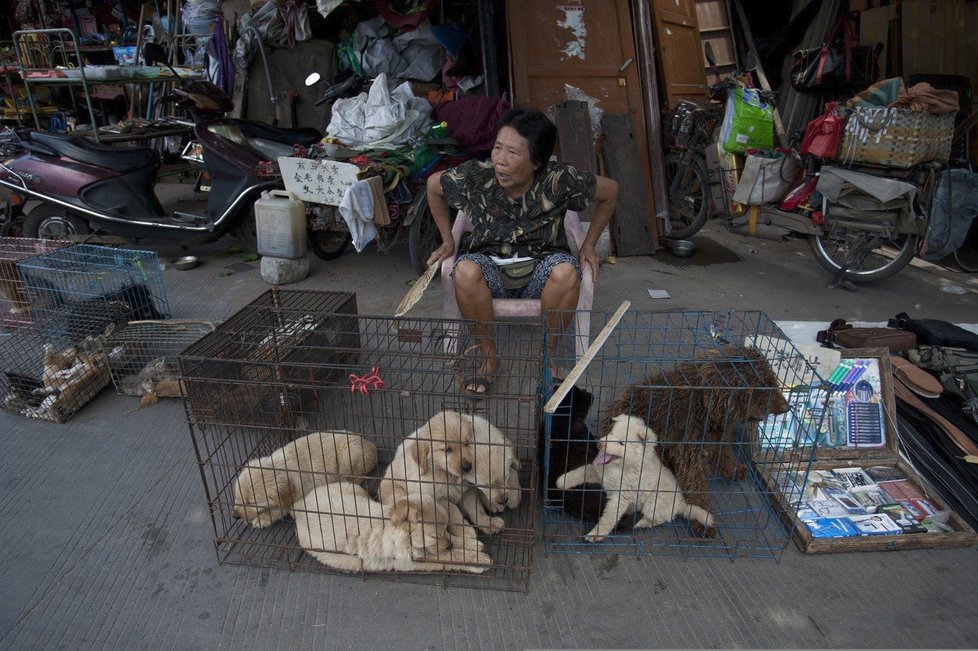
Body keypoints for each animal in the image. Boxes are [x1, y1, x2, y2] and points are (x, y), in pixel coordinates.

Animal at [232, 432, 378, 528]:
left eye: (252, 502)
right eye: (237, 497)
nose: (235, 516)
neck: (281, 467)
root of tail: (371, 444)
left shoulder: (297, 496)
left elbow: (280, 508)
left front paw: (263, 518)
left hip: (349, 453)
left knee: (356, 476)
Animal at [290, 482, 488, 572]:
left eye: (446, 528)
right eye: (434, 536)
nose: (449, 545)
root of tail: (299, 507)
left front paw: (470, 543)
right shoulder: (413, 561)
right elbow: (451, 557)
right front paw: (477, 560)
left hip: (353, 488)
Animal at [552, 416, 712, 544]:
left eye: (622, 443)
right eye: (611, 433)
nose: (600, 444)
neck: (620, 468)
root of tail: (680, 502)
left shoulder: (621, 496)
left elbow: (608, 518)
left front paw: (595, 534)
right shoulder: (600, 473)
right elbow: (582, 471)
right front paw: (562, 481)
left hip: (654, 503)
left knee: (654, 519)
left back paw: (638, 522)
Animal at [600, 344, 788, 532]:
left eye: (773, 380)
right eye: (762, 386)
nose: (788, 407)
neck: (705, 405)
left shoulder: (718, 436)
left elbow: (723, 453)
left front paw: (732, 468)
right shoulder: (689, 454)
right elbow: (695, 485)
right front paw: (701, 518)